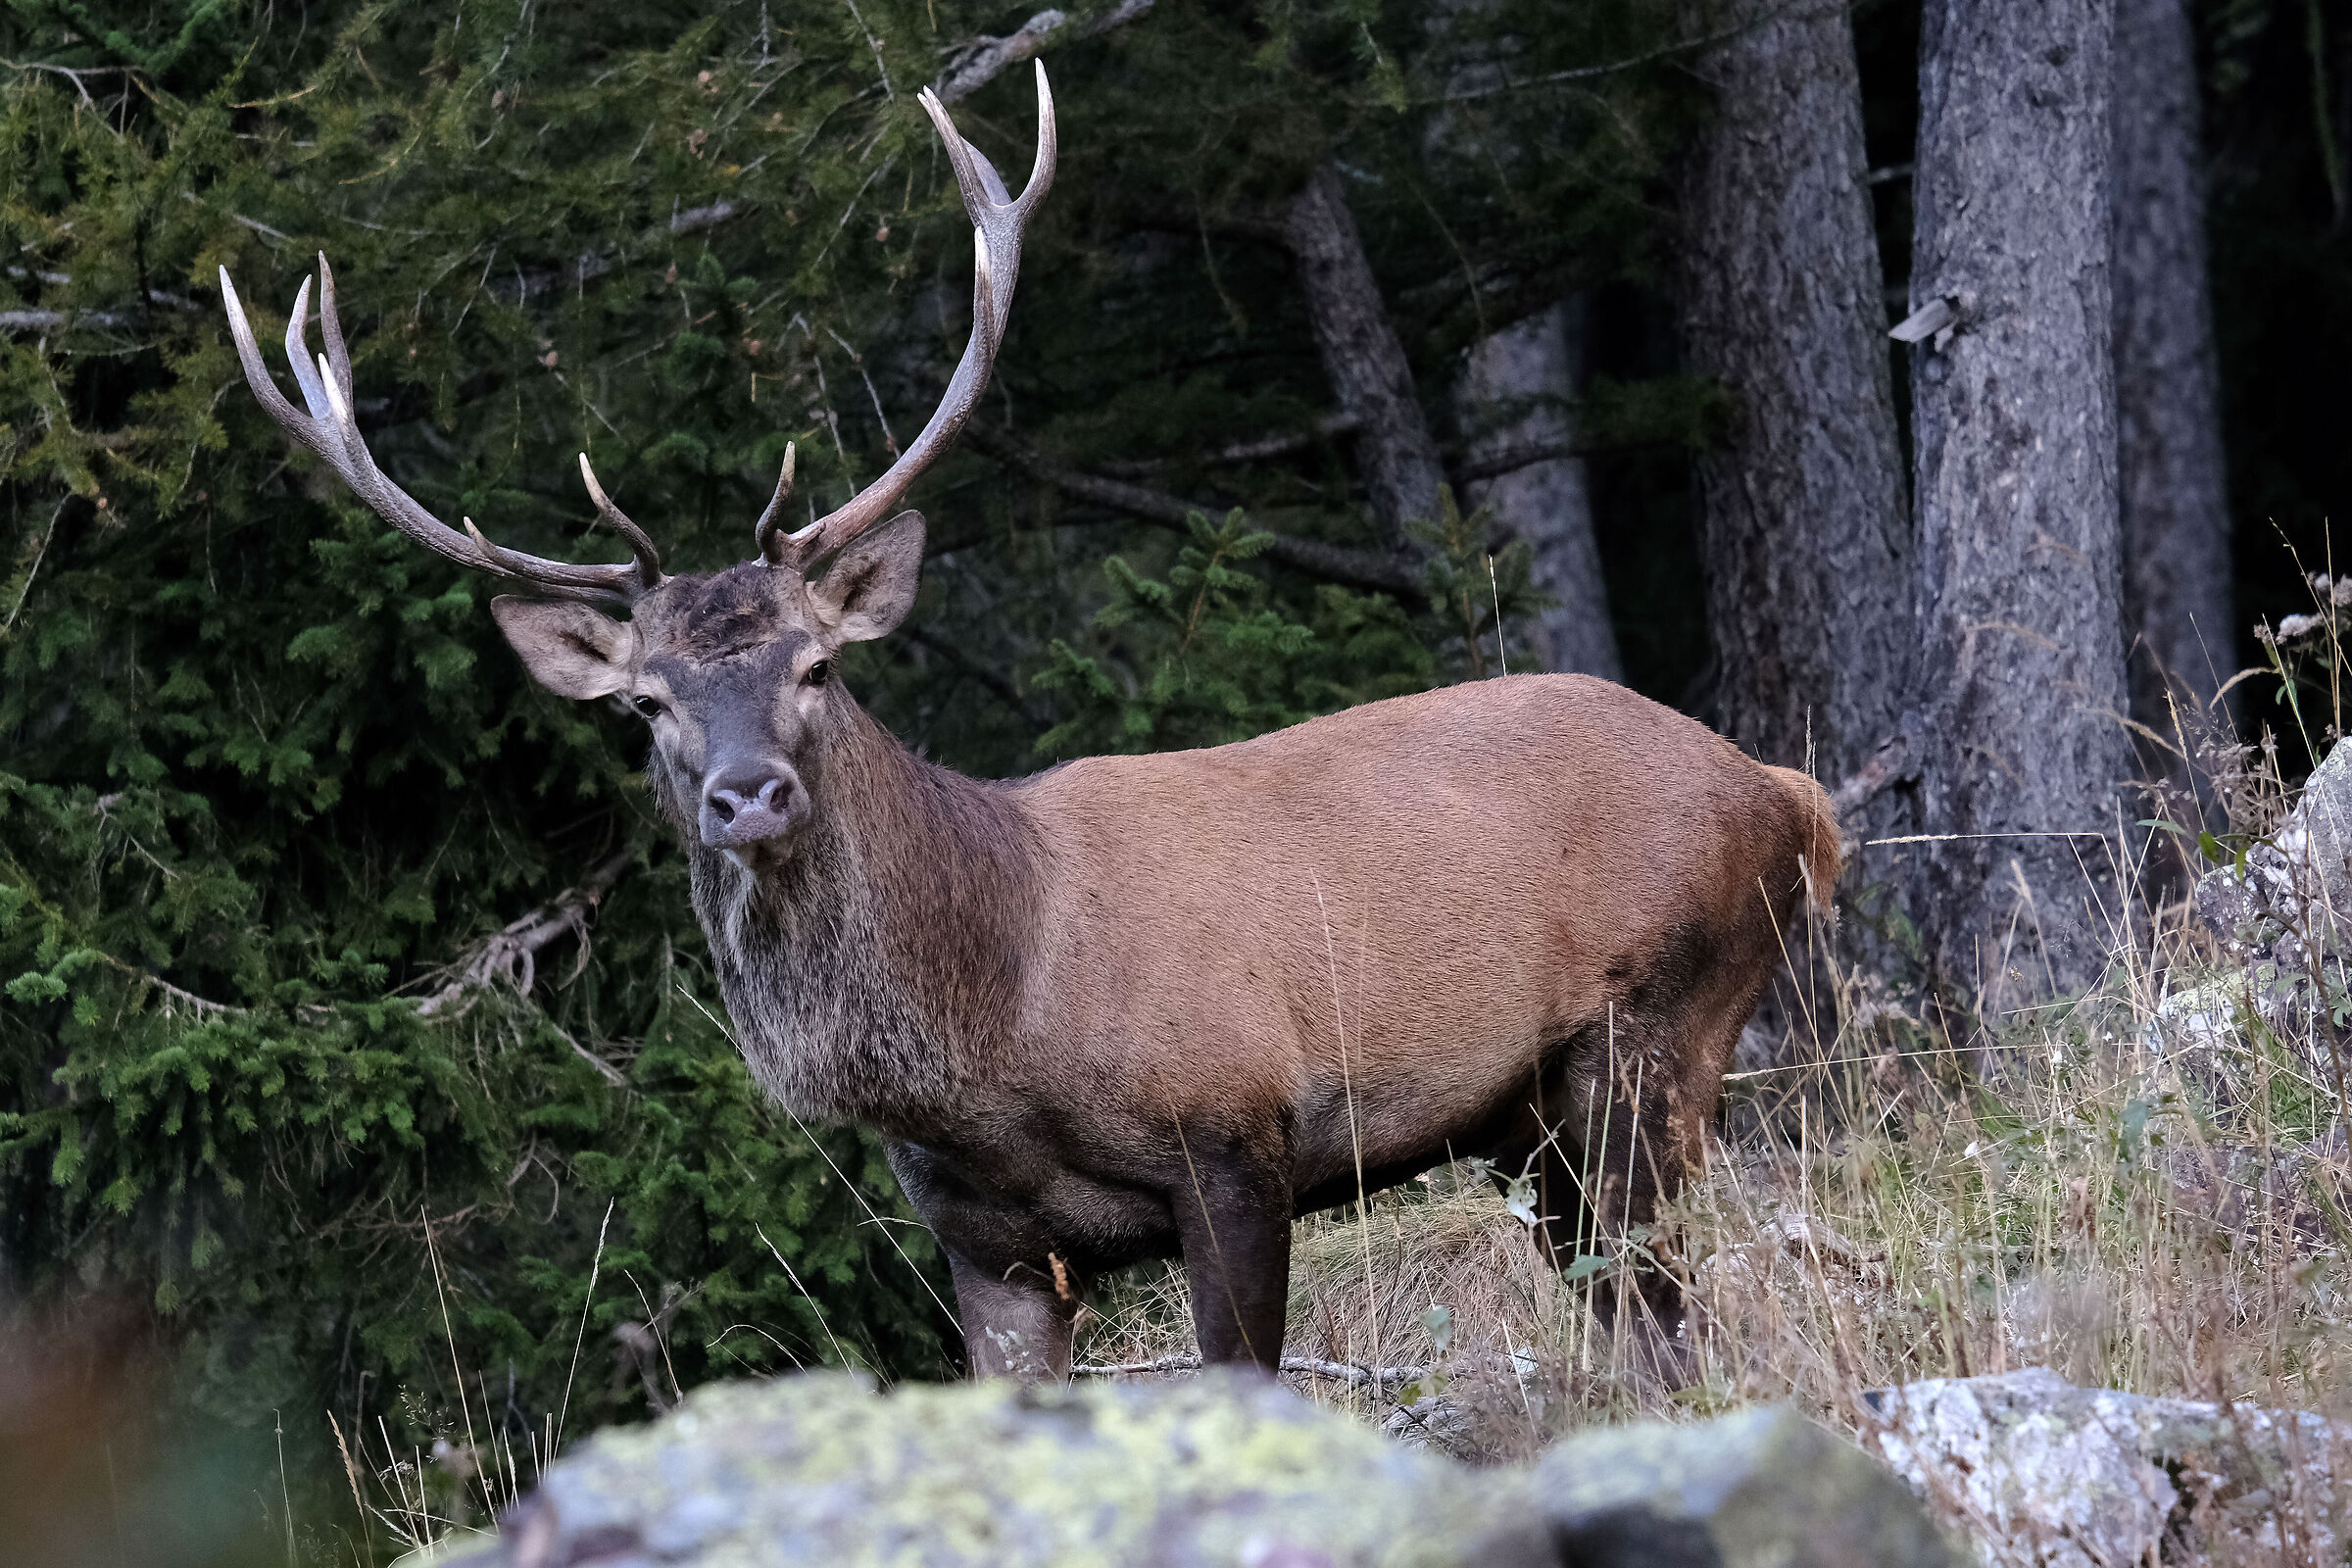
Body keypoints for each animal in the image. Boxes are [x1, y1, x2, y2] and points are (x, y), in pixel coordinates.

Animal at [220, 62, 1840, 1381]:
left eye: (817, 668)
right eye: (649, 704)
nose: (749, 796)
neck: (997, 1025)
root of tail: (1783, 792)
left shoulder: (1236, 1138)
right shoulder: (987, 1246)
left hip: (1658, 1036)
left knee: (1682, 1319)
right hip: (1540, 1124)